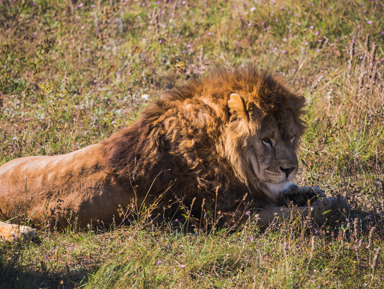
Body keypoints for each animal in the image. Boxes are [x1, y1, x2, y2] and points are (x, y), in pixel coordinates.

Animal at [0, 67, 348, 241]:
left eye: (291, 137)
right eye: (267, 140)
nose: (290, 168)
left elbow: (291, 197)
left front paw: (309, 191)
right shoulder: (224, 215)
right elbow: (290, 218)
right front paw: (334, 205)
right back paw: (22, 234)